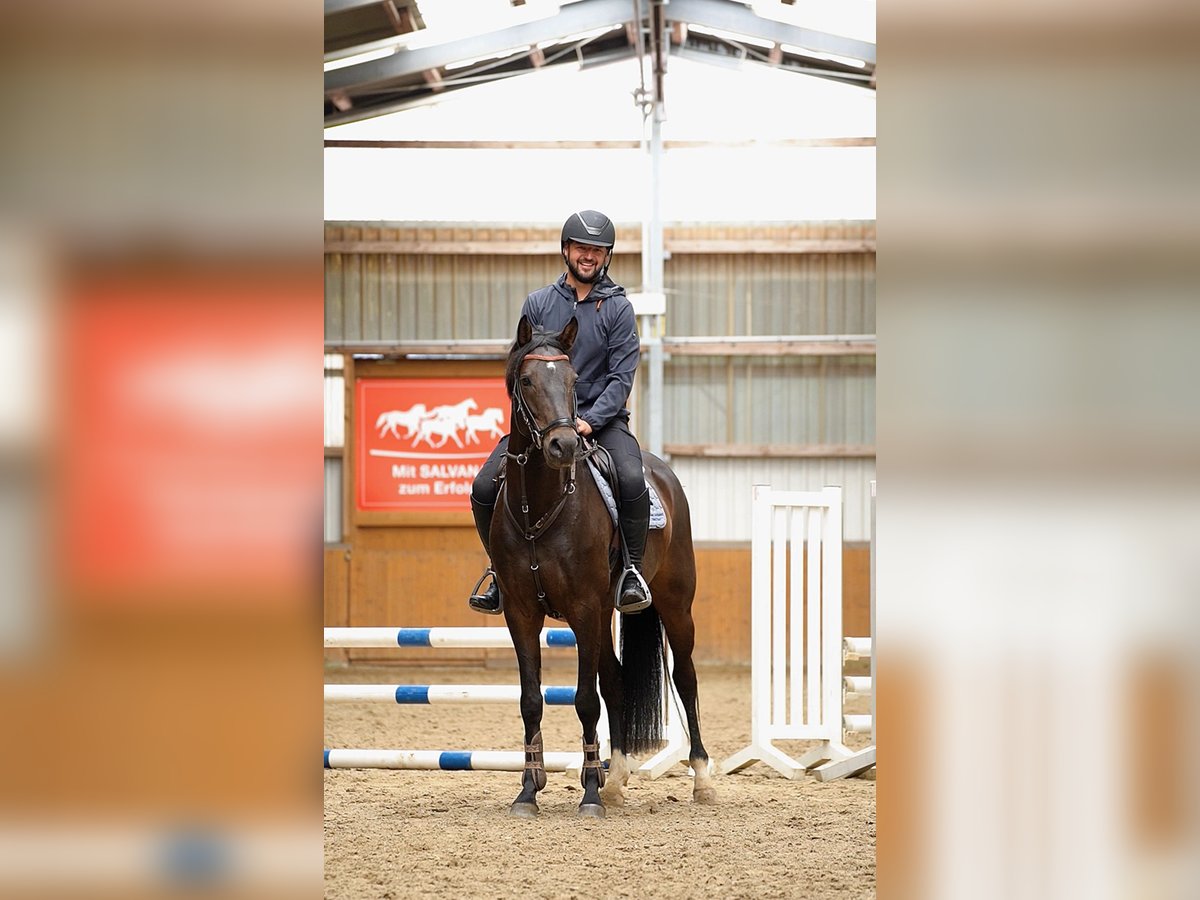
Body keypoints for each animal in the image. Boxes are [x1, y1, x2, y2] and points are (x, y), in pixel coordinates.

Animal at [492, 314, 715, 816]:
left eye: (574, 378)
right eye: (526, 380)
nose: (563, 444)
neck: (540, 508)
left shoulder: (584, 608)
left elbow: (585, 700)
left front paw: (589, 793)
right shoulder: (521, 612)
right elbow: (532, 700)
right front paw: (529, 790)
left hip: (674, 606)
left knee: (685, 678)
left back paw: (702, 779)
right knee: (615, 679)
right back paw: (617, 780)